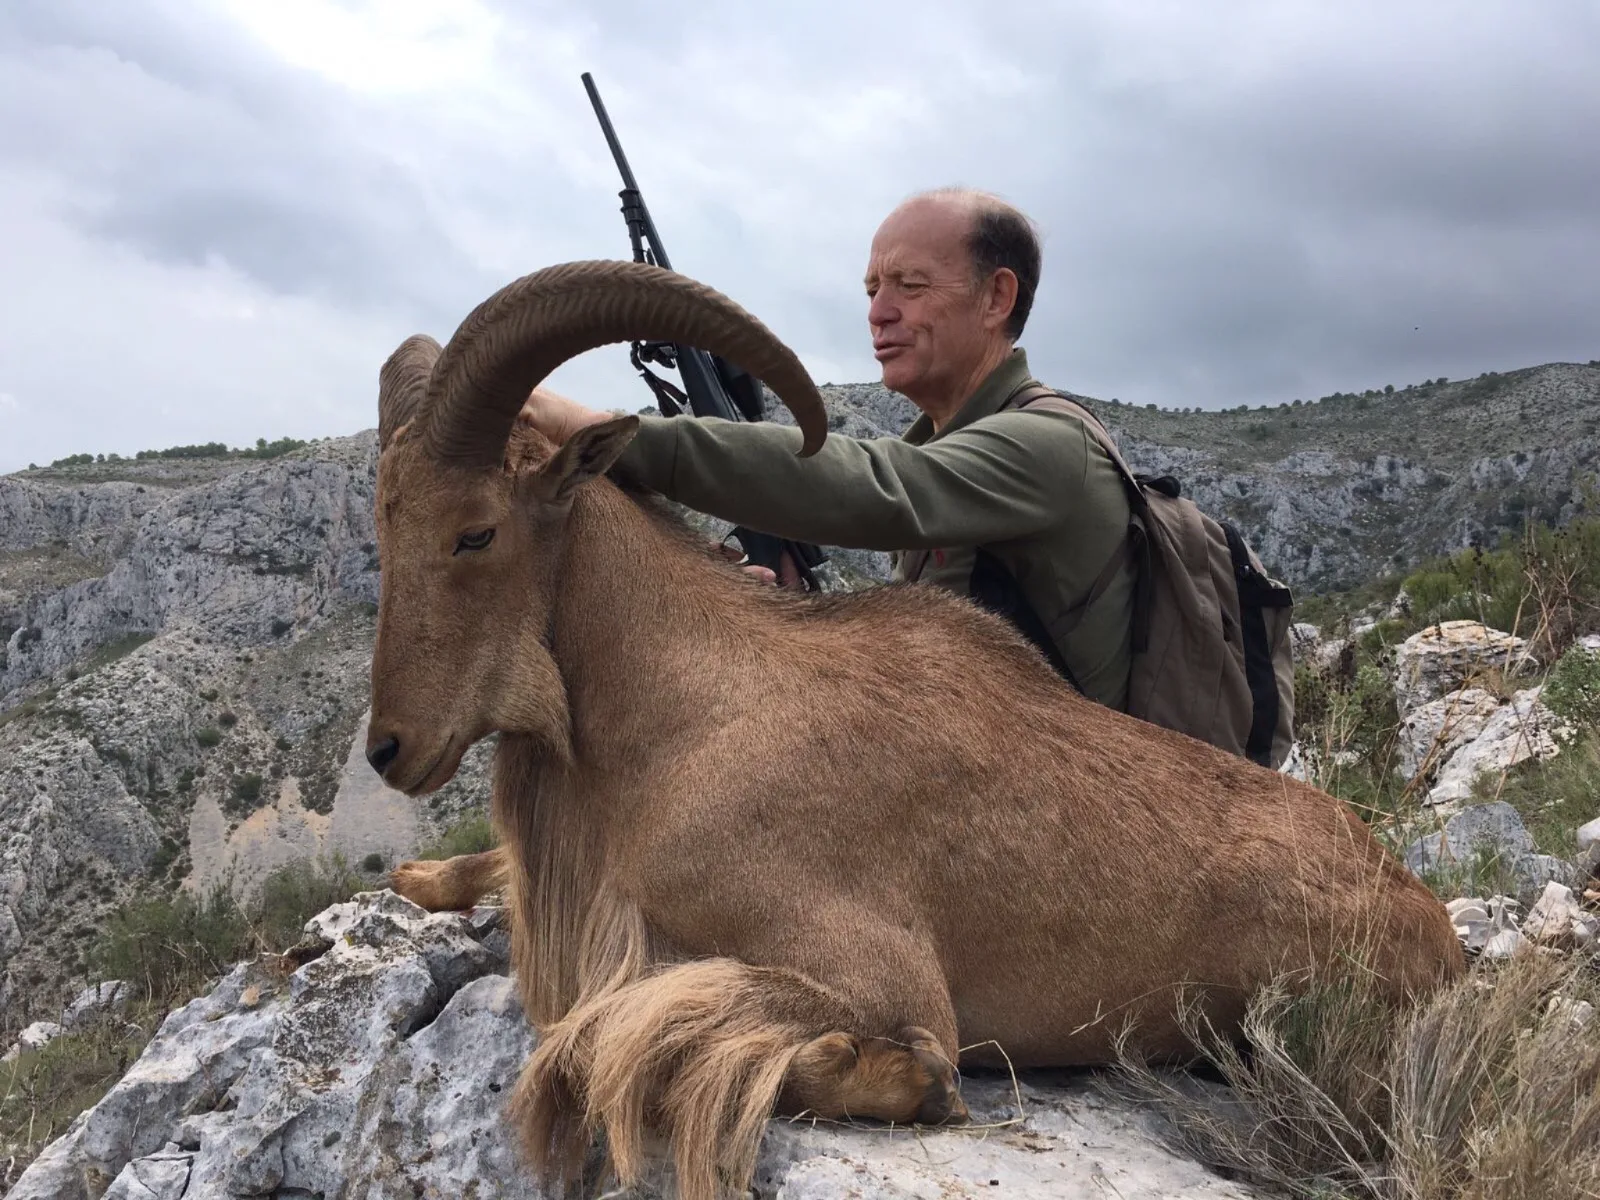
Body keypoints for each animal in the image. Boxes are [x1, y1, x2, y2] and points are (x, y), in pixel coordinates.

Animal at [366, 258, 1464, 1200]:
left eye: (475, 531)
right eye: (382, 525)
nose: (388, 749)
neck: (685, 721)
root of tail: (1428, 910)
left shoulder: (859, 963)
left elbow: (672, 1050)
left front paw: (907, 1078)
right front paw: (419, 875)